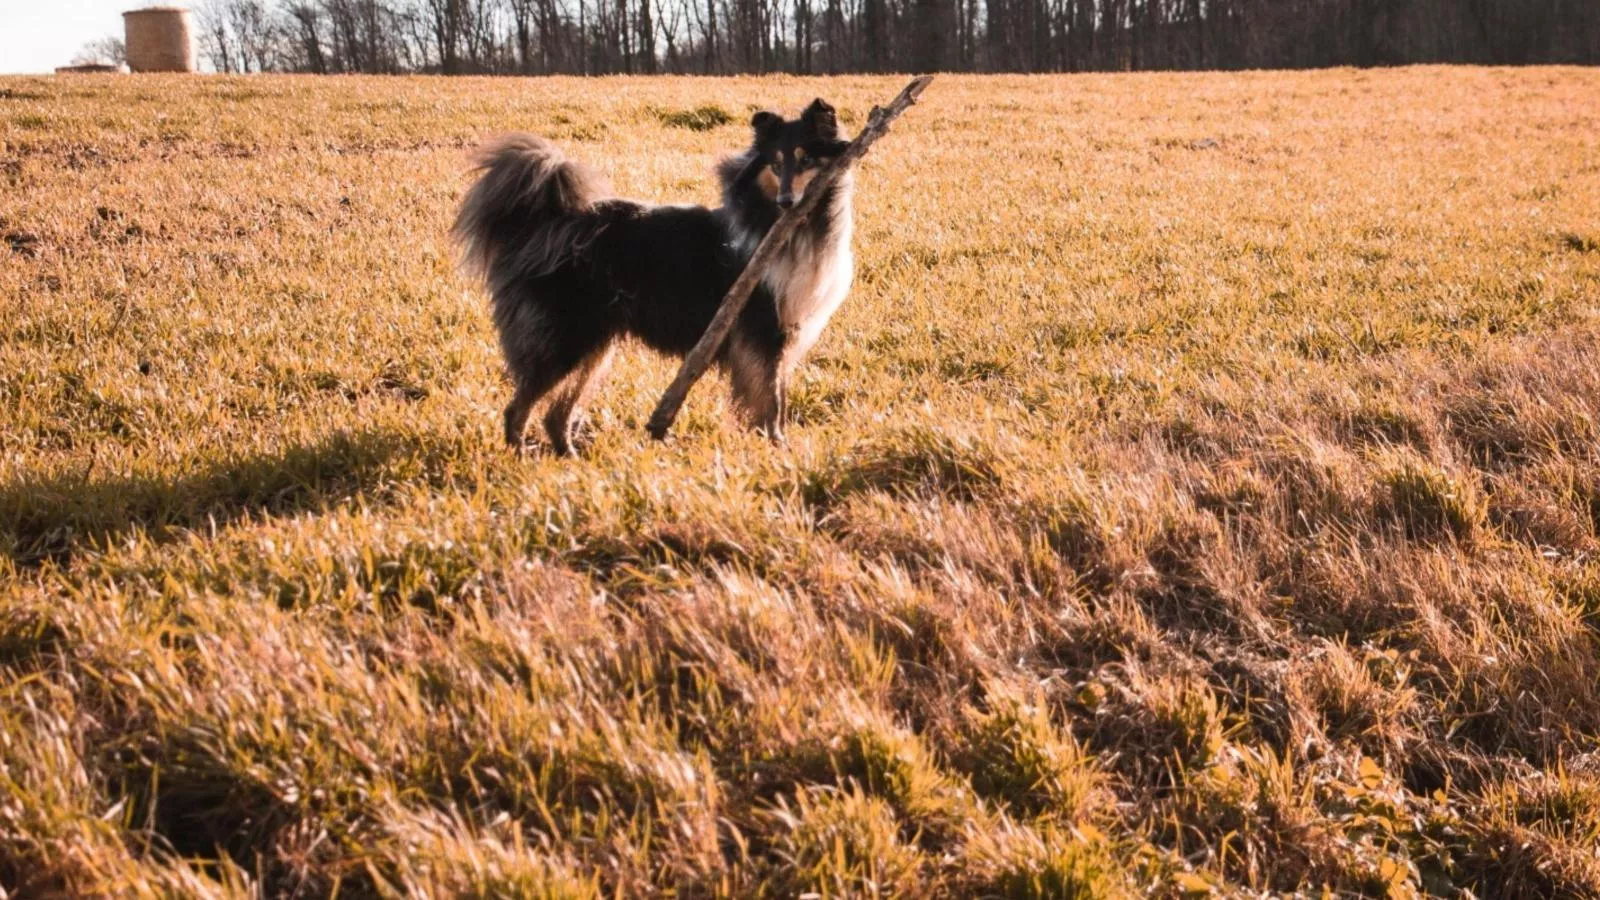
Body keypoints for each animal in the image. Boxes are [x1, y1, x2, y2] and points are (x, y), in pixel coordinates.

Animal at [454, 96, 851, 454]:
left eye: (806, 159)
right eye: (775, 164)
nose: (787, 202)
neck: (794, 227)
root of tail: (543, 224)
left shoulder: (784, 331)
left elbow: (777, 395)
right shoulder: (763, 329)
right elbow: (770, 401)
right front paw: (778, 448)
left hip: (594, 346)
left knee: (556, 413)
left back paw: (569, 457)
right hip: (567, 339)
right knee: (518, 408)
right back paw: (520, 457)